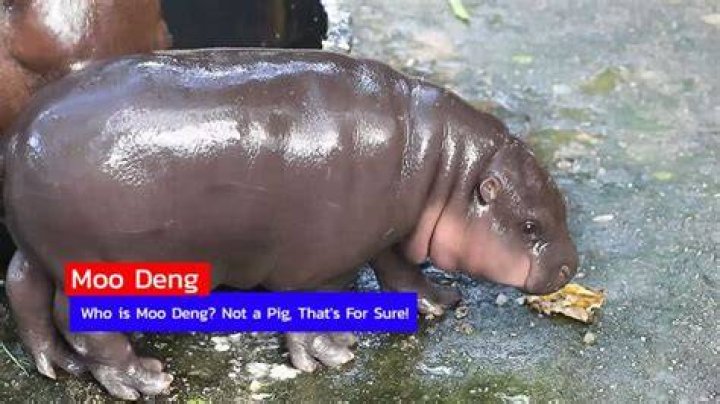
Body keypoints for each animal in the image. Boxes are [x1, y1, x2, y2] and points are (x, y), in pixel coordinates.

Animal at [3, 49, 578, 399]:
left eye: (560, 204)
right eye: (530, 227)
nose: (571, 266)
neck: (443, 165)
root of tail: (18, 136)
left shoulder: (392, 228)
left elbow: (400, 269)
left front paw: (438, 301)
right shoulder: (324, 259)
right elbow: (314, 304)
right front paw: (336, 353)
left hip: (38, 246)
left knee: (23, 288)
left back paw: (56, 366)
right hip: (94, 265)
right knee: (81, 319)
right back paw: (144, 380)